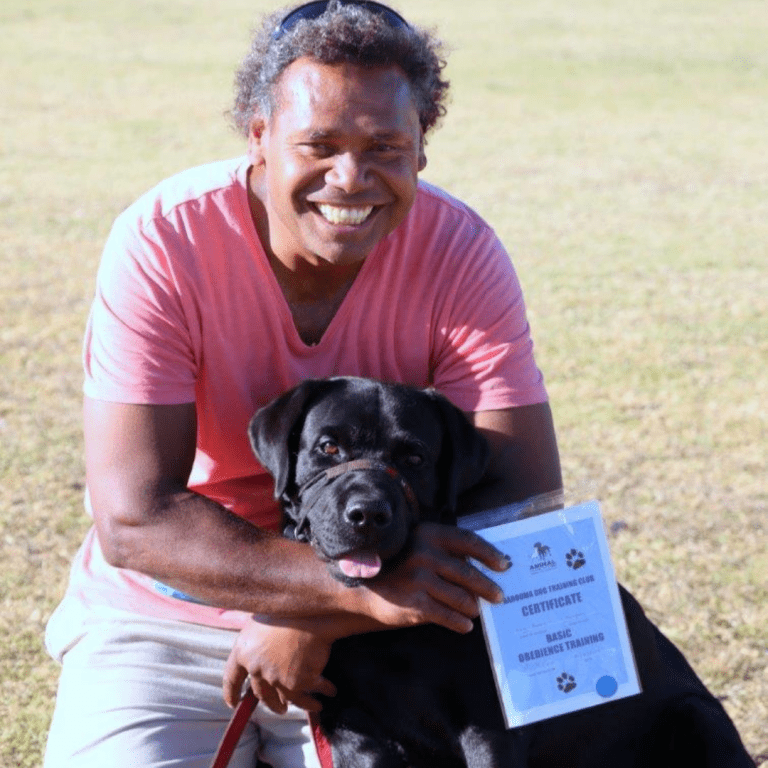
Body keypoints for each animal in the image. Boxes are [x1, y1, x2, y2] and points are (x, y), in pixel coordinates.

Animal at [249, 378, 752, 768]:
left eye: (415, 458)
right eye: (328, 447)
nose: (367, 514)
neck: (392, 635)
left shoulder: (491, 727)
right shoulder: (355, 733)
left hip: (697, 717)